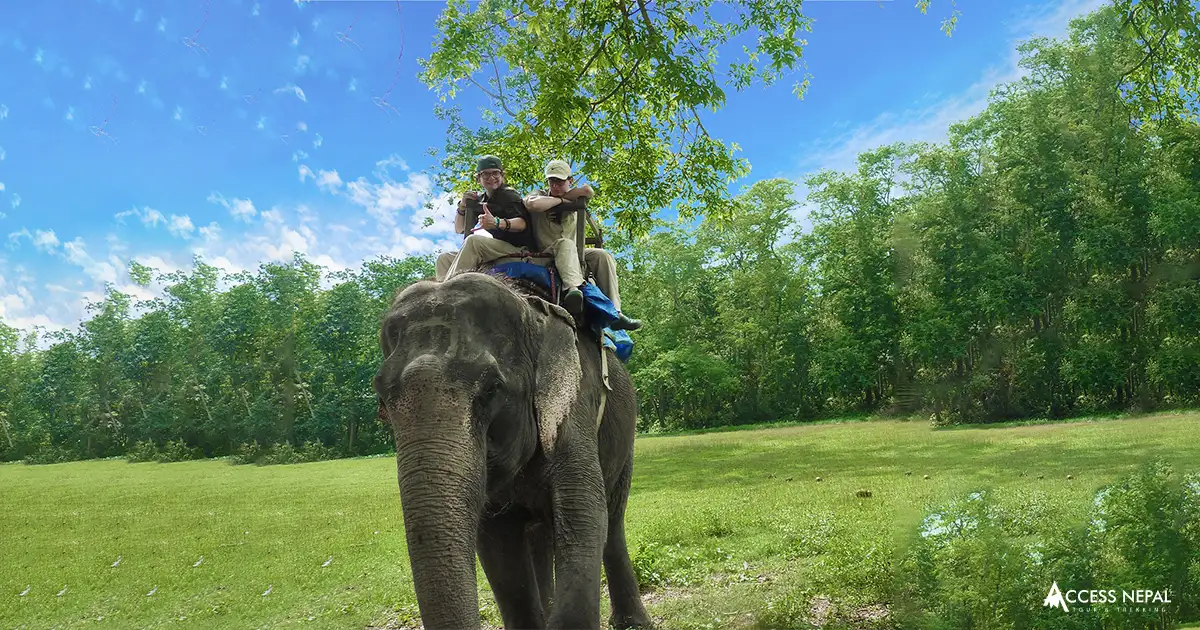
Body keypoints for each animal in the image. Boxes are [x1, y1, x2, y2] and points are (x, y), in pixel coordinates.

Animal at [372, 270, 654, 629]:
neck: (530, 311)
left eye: (492, 389)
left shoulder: (574, 404)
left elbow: (583, 512)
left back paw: (633, 622)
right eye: (382, 400)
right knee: (541, 534)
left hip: (626, 434)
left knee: (613, 519)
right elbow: (498, 545)